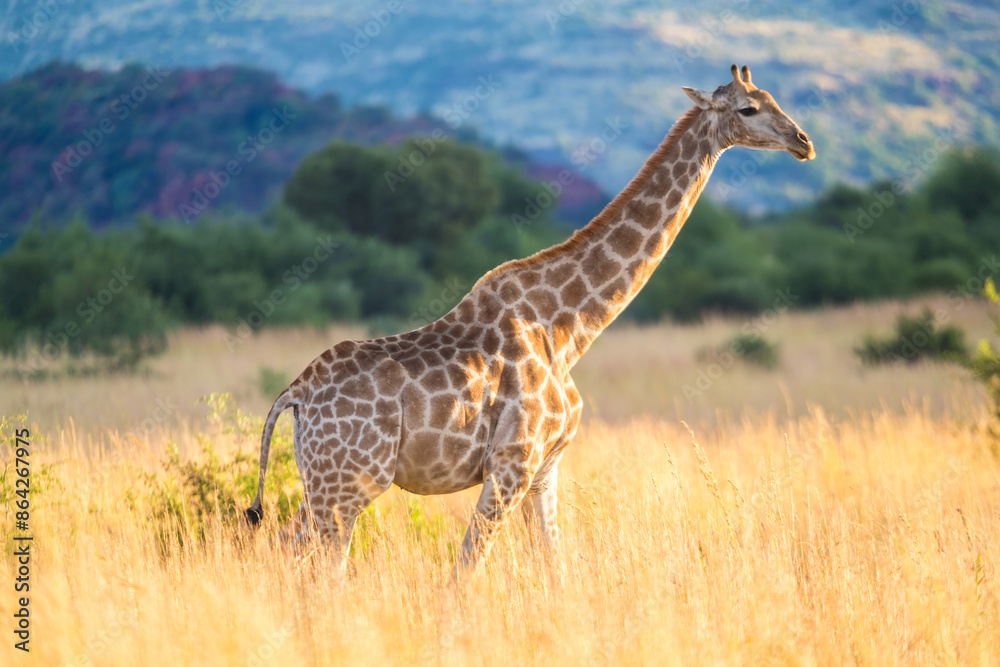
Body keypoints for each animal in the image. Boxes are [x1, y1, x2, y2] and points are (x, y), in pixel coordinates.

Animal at [244, 64, 815, 570]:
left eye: (772, 97)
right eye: (747, 108)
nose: (804, 142)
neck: (569, 329)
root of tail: (295, 393)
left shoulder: (545, 468)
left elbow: (553, 563)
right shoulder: (511, 464)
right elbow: (466, 567)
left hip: (323, 480)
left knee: (288, 547)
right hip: (349, 482)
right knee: (309, 557)